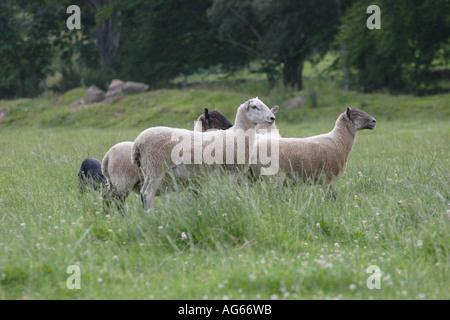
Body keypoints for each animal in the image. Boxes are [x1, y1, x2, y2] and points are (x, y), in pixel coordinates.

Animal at [100, 109, 234, 211]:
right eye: (215, 116)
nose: (230, 126)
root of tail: (106, 157)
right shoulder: (196, 180)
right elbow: (197, 197)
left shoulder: (192, 182)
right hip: (128, 180)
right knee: (123, 200)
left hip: (119, 181)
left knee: (108, 198)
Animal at [132, 99, 276, 211]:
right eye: (254, 107)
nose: (272, 118)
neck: (237, 135)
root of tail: (138, 142)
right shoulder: (232, 171)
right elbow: (235, 192)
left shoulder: (239, 174)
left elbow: (244, 193)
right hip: (156, 168)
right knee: (148, 194)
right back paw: (151, 216)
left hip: (148, 171)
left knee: (143, 194)